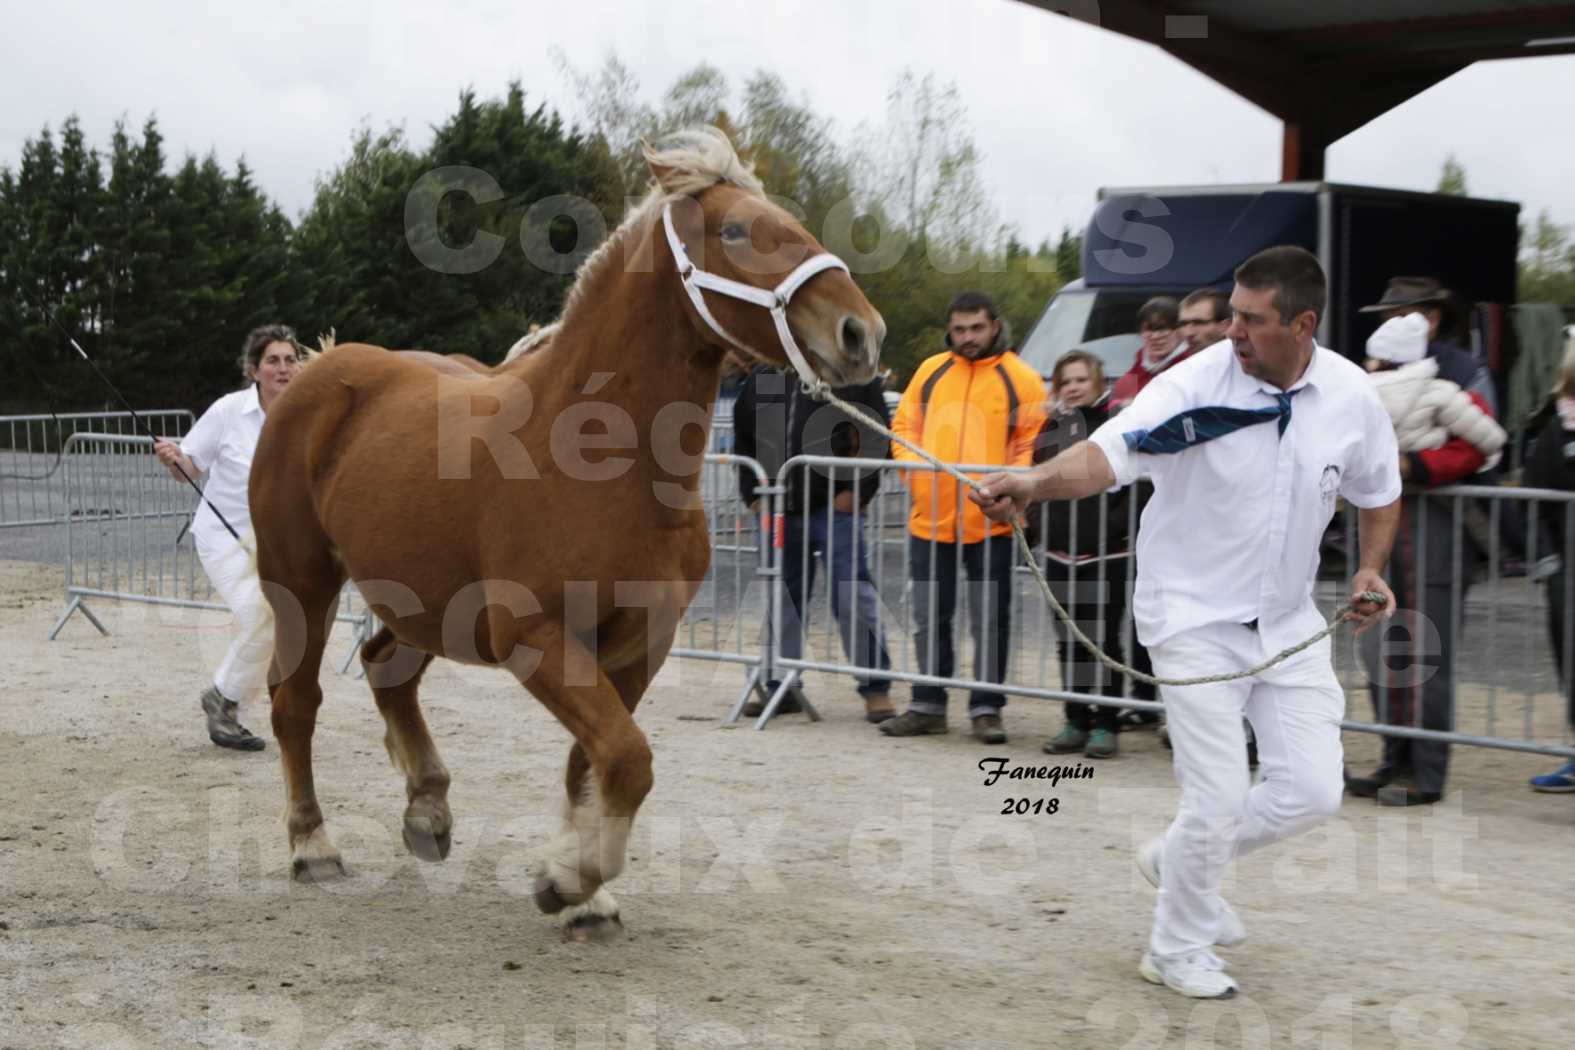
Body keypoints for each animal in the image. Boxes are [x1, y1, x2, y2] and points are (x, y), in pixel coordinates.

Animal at [252, 127, 882, 938]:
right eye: (738, 230)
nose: (859, 332)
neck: (601, 456)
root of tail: (319, 368)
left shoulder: (642, 642)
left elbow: (595, 761)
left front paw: (586, 895)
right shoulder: (534, 635)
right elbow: (627, 756)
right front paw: (567, 878)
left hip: (424, 601)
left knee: (385, 667)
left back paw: (428, 811)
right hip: (301, 579)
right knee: (295, 702)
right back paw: (313, 845)